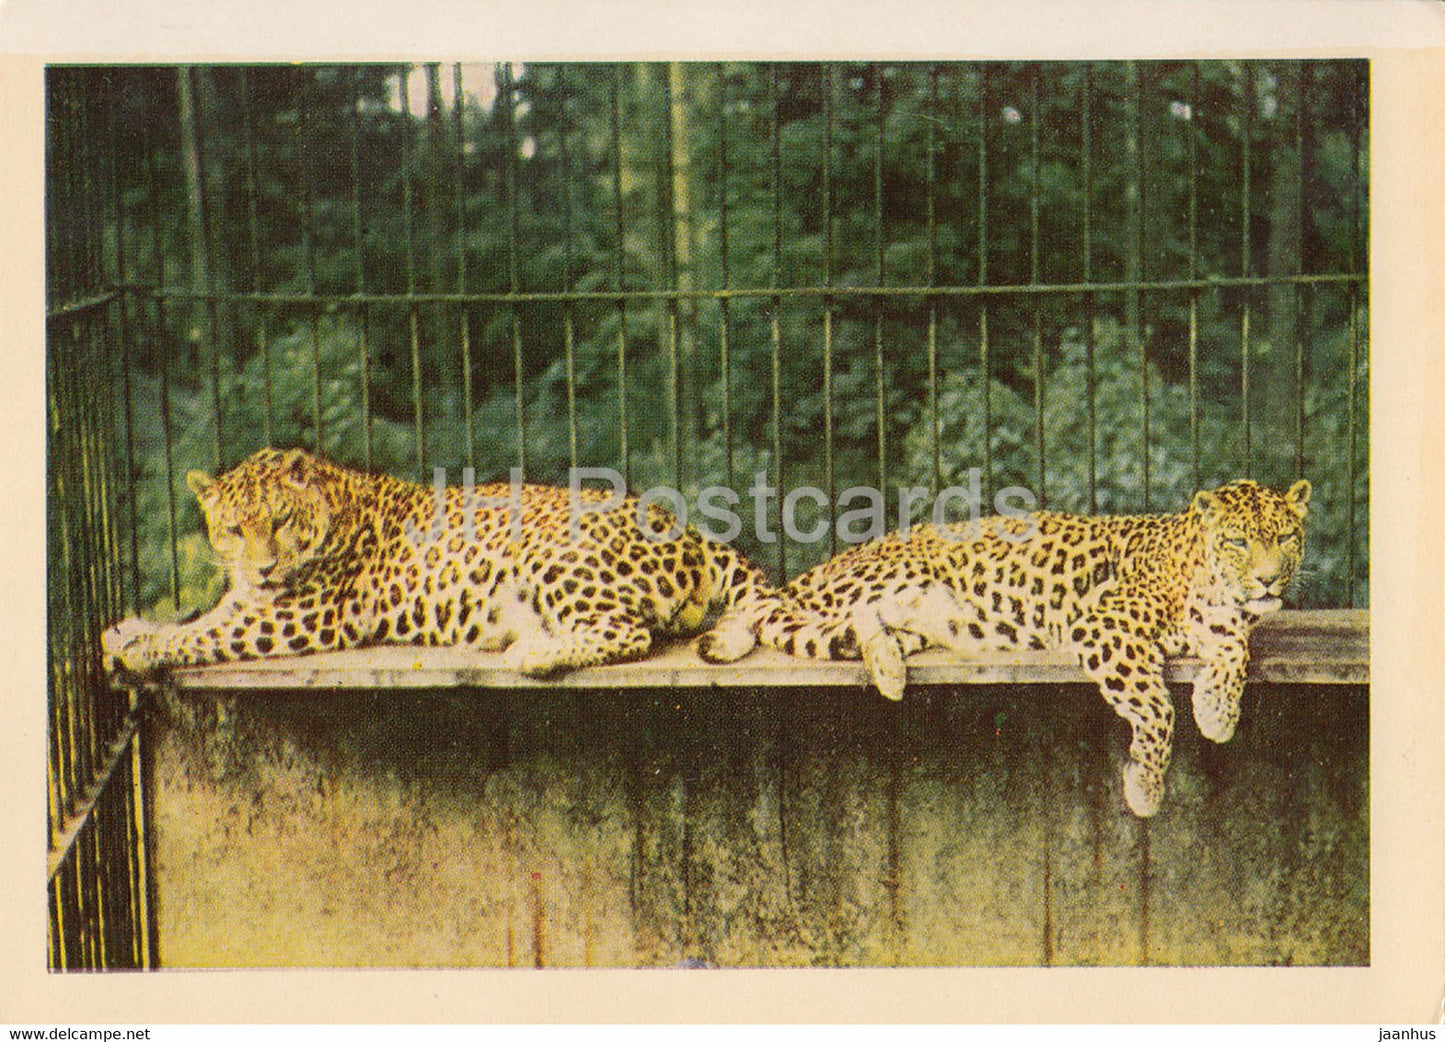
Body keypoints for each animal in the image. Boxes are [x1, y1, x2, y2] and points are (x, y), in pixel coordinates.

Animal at [102, 447, 780, 679]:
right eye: (232, 530)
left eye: (281, 521)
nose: (263, 569)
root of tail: (687, 528)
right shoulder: (251, 599)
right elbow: (199, 620)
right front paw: (129, 629)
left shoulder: (302, 616)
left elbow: (206, 635)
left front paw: (143, 651)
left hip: (555, 555)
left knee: (628, 631)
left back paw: (532, 654)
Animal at [698, 479, 1312, 817]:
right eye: (1238, 541)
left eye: (1285, 537)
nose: (1268, 581)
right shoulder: (1107, 626)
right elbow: (1158, 708)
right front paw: (1145, 788)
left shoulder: (1227, 629)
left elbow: (1235, 655)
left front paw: (1218, 711)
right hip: (890, 573)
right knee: (773, 606)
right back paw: (729, 639)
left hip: (921, 616)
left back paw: (889, 667)